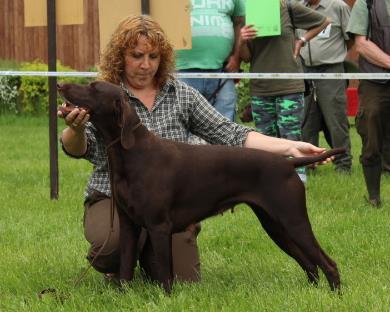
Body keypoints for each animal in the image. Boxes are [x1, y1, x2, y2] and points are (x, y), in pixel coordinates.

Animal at [57, 80, 342, 292]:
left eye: (94, 87)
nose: (60, 84)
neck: (133, 155)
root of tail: (289, 163)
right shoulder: (129, 225)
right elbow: (125, 268)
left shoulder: (159, 226)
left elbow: (165, 275)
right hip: (275, 225)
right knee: (310, 265)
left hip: (293, 221)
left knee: (328, 263)